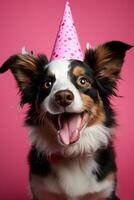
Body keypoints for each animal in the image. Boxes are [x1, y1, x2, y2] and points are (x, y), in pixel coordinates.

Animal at [0, 41, 132, 200]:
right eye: (47, 84)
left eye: (83, 81)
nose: (63, 97)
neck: (72, 154)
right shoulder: (40, 190)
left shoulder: (104, 191)